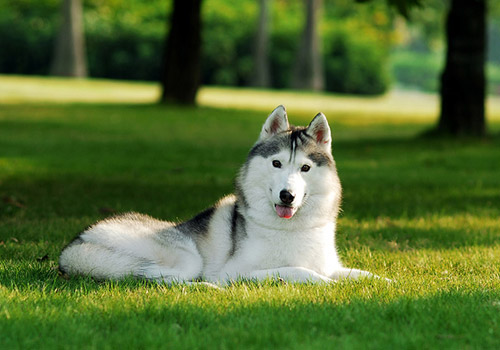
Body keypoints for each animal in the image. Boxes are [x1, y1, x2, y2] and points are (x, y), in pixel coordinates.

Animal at [58, 106, 376, 284]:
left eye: (305, 167)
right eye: (276, 163)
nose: (287, 196)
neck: (293, 228)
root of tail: (74, 244)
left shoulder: (332, 265)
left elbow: (361, 274)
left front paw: (381, 283)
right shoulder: (236, 273)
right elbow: (298, 271)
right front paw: (328, 285)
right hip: (185, 256)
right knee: (157, 280)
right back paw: (205, 287)